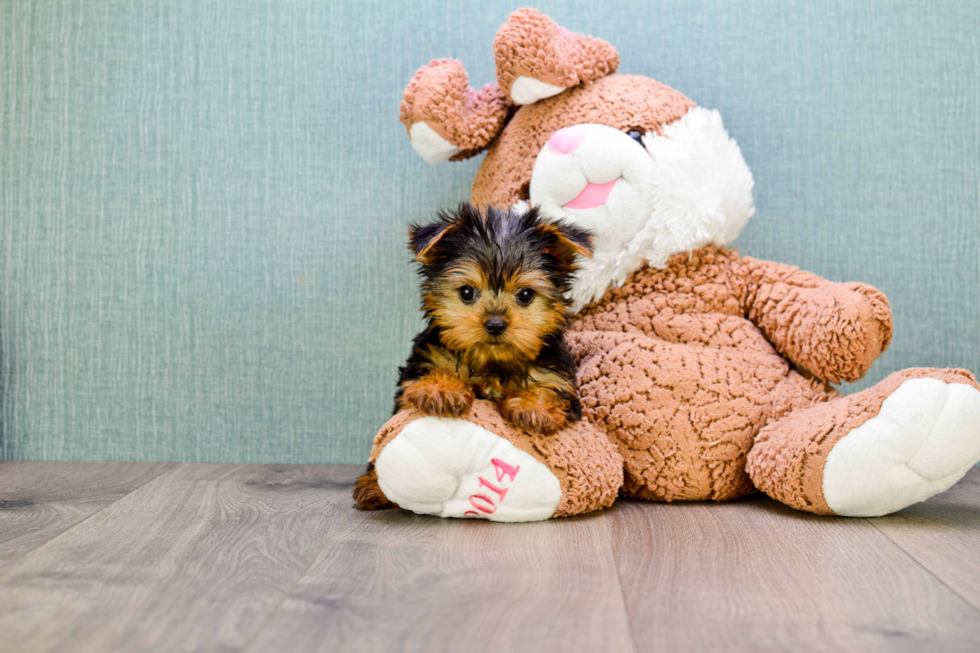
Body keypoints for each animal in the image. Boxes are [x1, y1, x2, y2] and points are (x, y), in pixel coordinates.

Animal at [356, 204, 592, 510]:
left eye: (526, 295)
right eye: (467, 292)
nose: (495, 323)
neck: (490, 362)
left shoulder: (557, 372)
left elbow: (550, 388)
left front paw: (531, 406)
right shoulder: (426, 360)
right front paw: (441, 389)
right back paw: (373, 486)